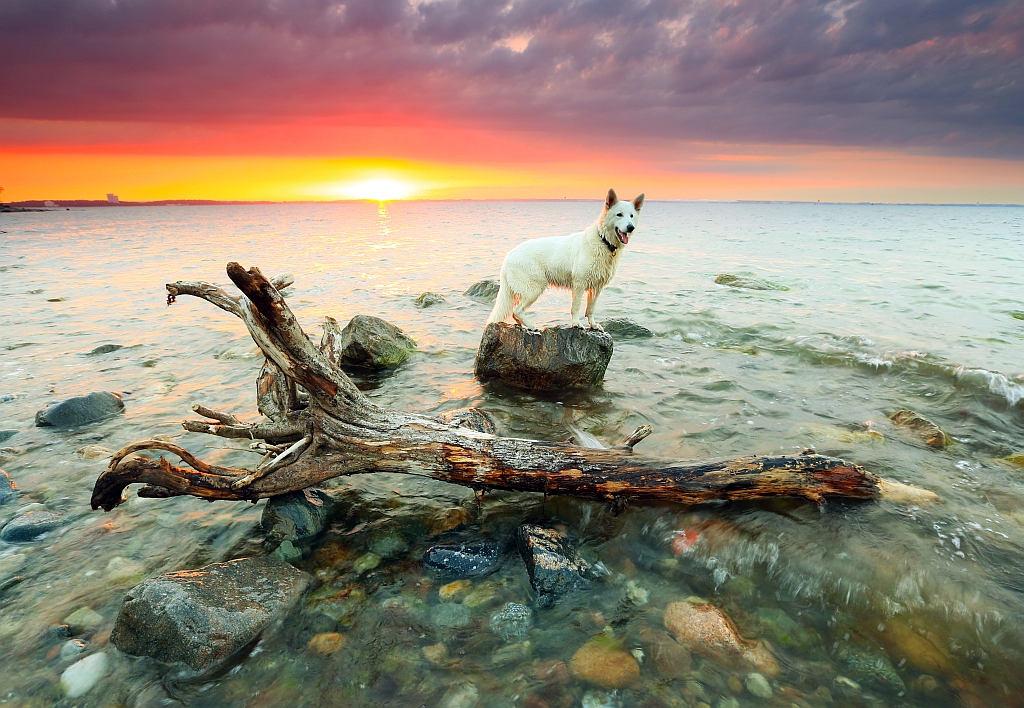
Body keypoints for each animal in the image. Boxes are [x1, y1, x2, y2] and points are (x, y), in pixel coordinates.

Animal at [485, 189, 643, 331]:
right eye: (619, 215)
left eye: (631, 216)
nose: (631, 227)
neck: (603, 241)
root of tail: (509, 255)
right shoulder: (579, 284)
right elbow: (576, 307)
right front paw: (576, 324)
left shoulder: (597, 288)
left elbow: (591, 309)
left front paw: (593, 325)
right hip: (534, 289)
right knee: (517, 311)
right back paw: (532, 326)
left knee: (515, 313)